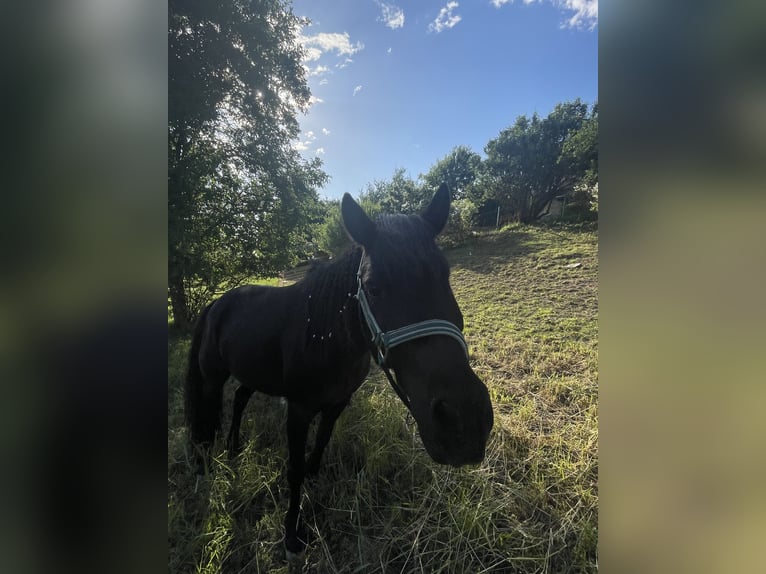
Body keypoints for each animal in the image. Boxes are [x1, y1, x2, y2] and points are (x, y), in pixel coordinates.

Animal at [185, 183, 494, 558]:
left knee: (240, 399)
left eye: (445, 277)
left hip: (253, 373)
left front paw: (314, 478)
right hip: (213, 379)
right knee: (208, 418)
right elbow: (293, 469)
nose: (464, 421)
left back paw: (233, 448)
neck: (325, 336)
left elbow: (320, 445)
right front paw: (291, 535)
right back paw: (206, 466)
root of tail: (217, 303)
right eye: (373, 288)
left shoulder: (338, 403)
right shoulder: (298, 410)